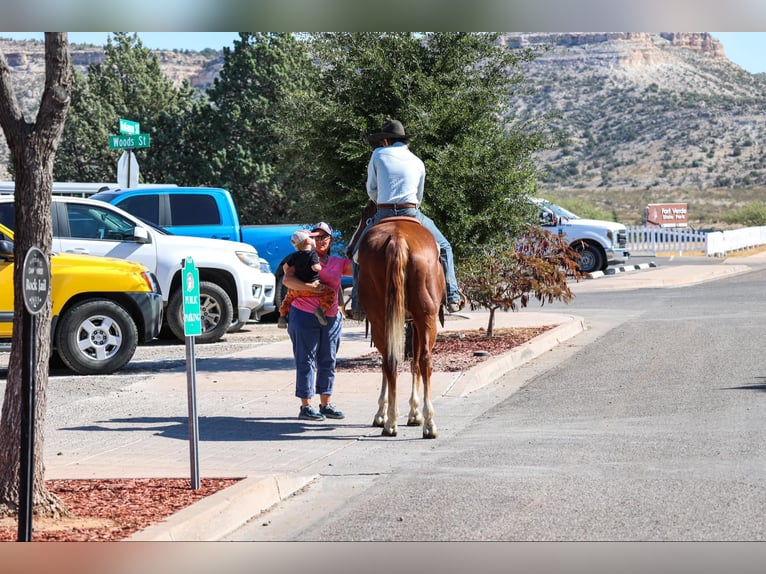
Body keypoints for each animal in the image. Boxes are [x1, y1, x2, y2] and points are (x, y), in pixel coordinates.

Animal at [351, 200, 445, 438]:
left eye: (364, 217)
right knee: (422, 360)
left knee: (391, 361)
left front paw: (387, 413)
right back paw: (422, 422)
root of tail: (398, 239)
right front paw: (413, 413)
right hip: (425, 316)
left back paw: (393, 421)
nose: (348, 249)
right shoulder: (414, 323)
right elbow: (414, 362)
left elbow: (406, 361)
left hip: (382, 318)